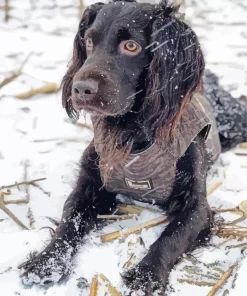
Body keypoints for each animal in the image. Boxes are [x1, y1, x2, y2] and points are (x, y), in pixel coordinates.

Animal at [19, 1, 247, 294]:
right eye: (89, 42)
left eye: (131, 46)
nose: (80, 89)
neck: (132, 134)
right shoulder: (89, 185)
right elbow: (69, 222)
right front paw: (46, 262)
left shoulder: (197, 207)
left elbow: (171, 237)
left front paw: (145, 274)